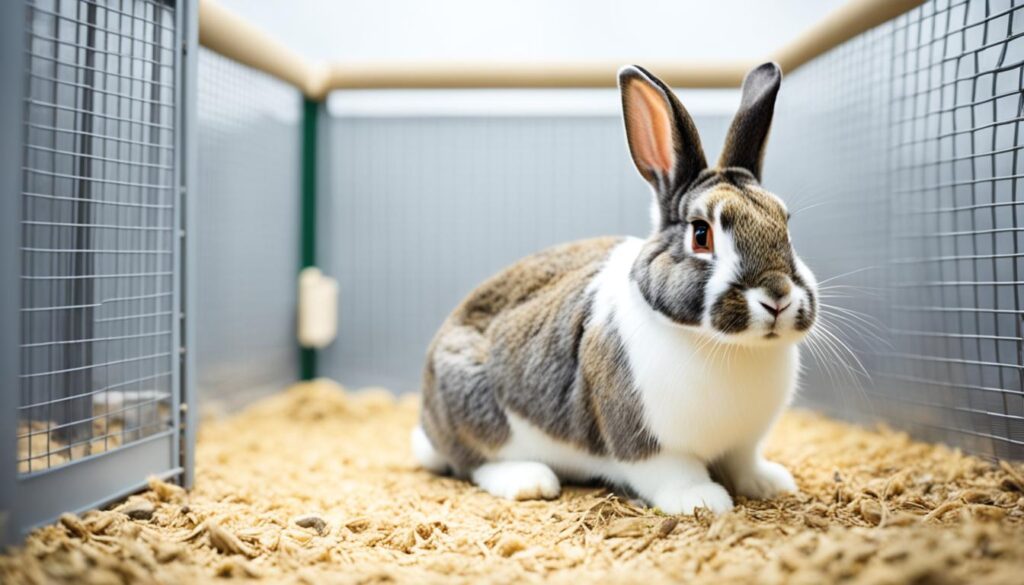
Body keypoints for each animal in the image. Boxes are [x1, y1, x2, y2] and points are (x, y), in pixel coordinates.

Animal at [411, 62, 817, 515]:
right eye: (701, 234)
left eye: (785, 226)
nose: (777, 297)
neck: (727, 346)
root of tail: (428, 421)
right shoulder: (645, 444)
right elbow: (674, 472)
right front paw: (703, 501)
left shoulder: (743, 443)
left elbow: (744, 462)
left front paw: (771, 483)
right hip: (478, 415)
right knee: (473, 464)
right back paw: (529, 480)